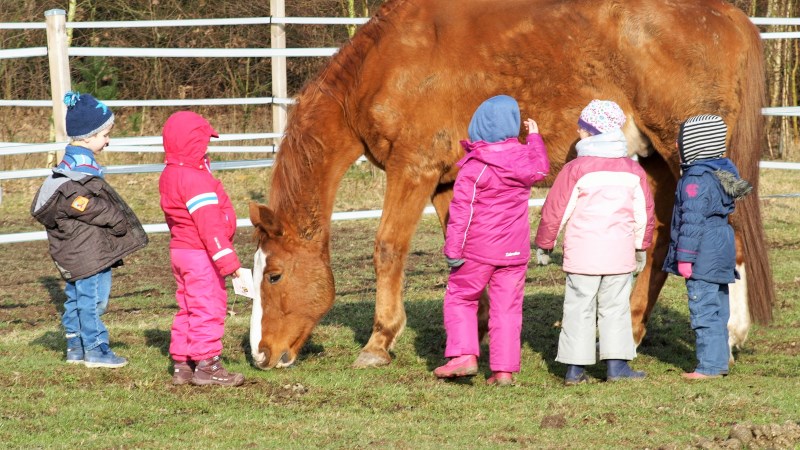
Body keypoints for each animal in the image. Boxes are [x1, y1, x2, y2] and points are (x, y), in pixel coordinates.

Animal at [248, 0, 776, 370]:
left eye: (274, 275)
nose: (260, 354)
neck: (389, 62)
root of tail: (730, 16)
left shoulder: (413, 169)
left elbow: (388, 249)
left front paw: (379, 342)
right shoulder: (448, 180)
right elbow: (463, 248)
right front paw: (477, 329)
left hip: (687, 156)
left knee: (721, 234)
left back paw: (730, 335)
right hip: (656, 162)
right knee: (664, 238)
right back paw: (629, 329)